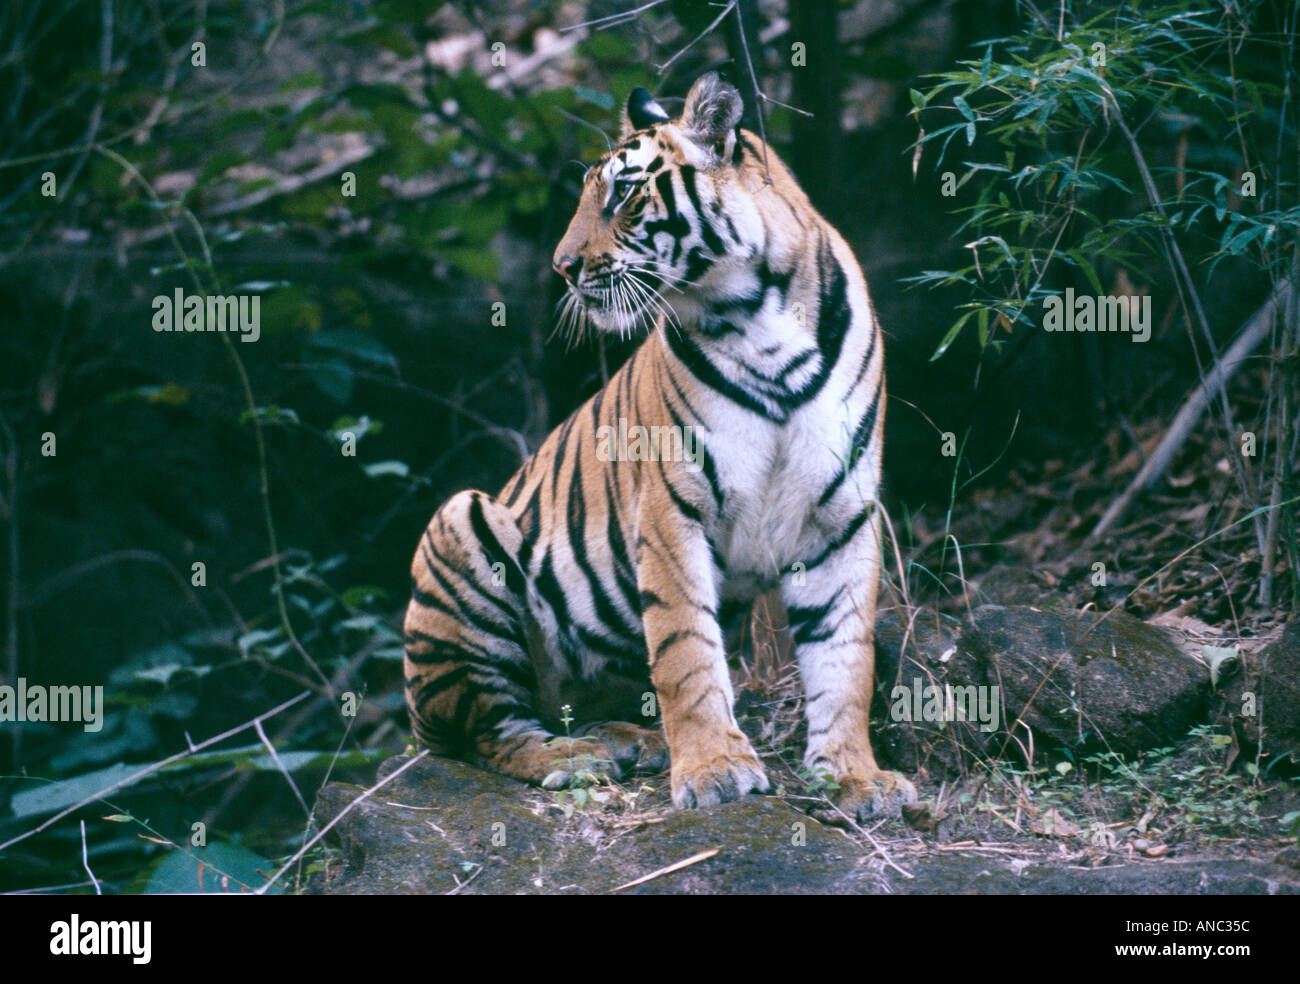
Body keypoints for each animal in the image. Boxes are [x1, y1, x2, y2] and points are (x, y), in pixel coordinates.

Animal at [403, 72, 917, 819]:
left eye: (622, 194)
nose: (562, 266)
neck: (760, 317)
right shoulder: (673, 508)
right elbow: (686, 650)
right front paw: (714, 768)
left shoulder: (841, 515)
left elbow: (846, 660)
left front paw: (855, 776)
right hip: (463, 524)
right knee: (486, 731)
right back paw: (572, 760)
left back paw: (630, 740)